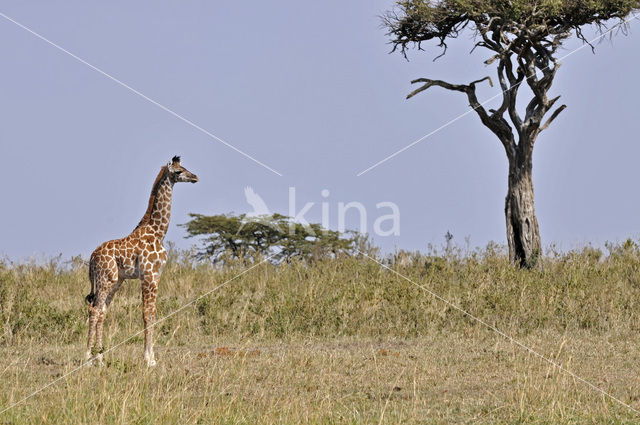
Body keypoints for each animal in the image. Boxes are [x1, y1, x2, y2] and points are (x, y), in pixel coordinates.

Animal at [85, 156, 198, 364]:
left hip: (115, 281)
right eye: (179, 171)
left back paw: (101, 357)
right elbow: (147, 314)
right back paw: (88, 357)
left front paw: (152, 357)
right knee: (94, 310)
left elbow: (153, 313)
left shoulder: (157, 276)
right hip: (105, 280)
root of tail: (92, 257)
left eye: (184, 167)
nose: (195, 177)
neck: (158, 232)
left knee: (102, 311)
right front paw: (148, 359)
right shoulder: (148, 276)